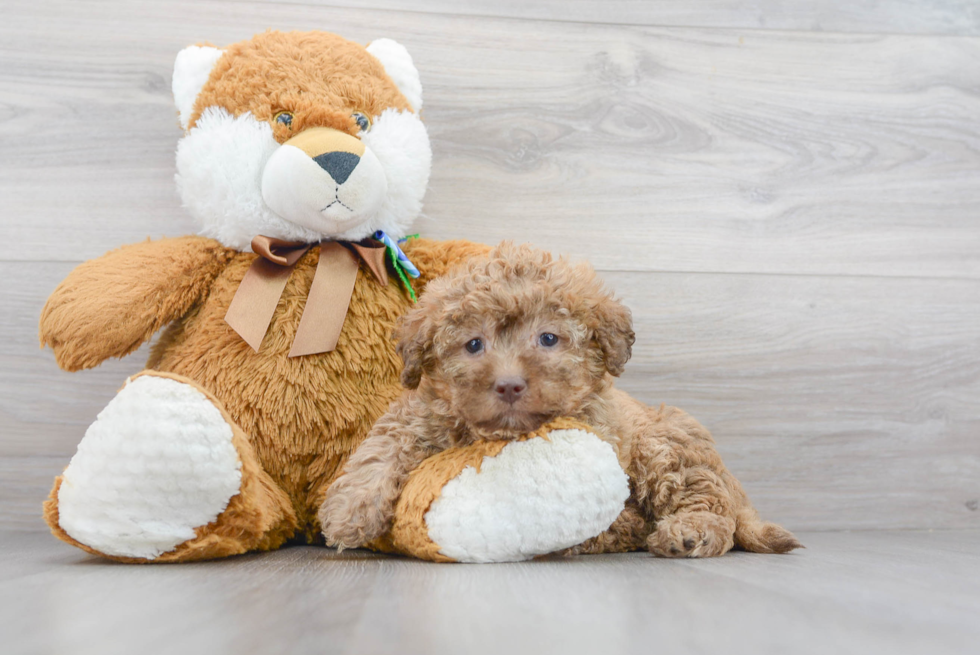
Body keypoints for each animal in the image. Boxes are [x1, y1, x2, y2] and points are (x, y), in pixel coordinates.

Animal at [322, 242, 804, 560]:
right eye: (474, 344)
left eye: (548, 339)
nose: (509, 385)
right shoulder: (420, 413)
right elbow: (381, 448)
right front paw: (350, 512)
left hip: (668, 444)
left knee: (706, 502)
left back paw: (688, 533)